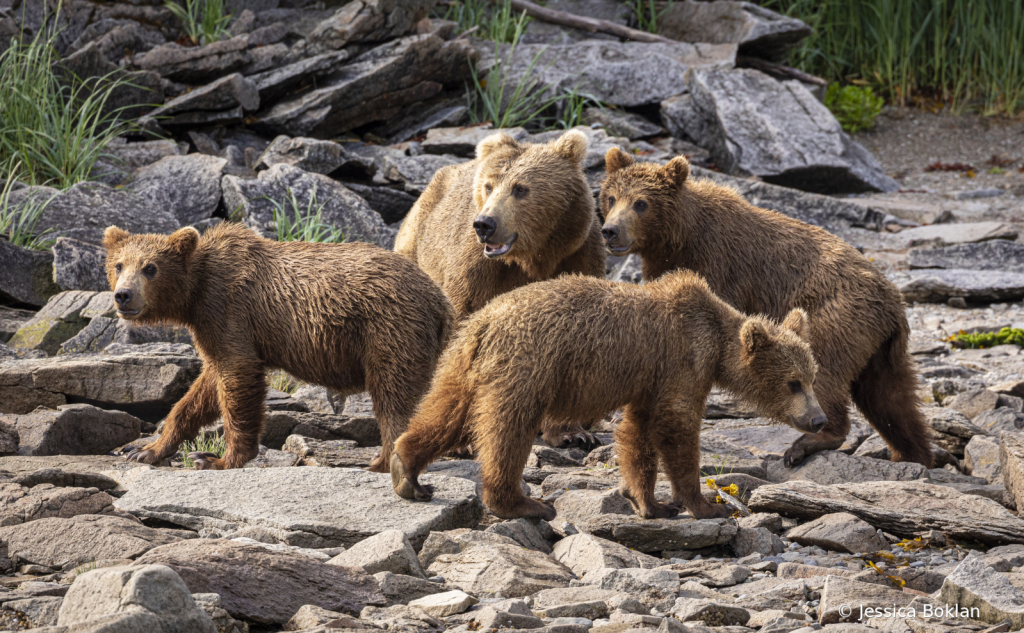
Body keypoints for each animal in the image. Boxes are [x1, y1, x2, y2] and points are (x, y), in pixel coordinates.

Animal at [103, 222, 452, 469]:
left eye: (150, 267)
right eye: (119, 265)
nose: (123, 295)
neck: (195, 294)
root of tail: (438, 297)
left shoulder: (231, 311)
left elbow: (237, 377)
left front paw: (218, 459)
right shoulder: (213, 328)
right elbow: (204, 388)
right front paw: (144, 448)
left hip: (388, 329)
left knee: (393, 394)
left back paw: (383, 461)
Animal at [387, 268, 827, 520]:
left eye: (813, 376)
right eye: (793, 383)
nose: (819, 419)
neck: (717, 342)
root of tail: (485, 321)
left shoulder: (650, 378)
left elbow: (638, 432)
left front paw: (649, 502)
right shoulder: (683, 360)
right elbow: (677, 425)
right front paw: (702, 504)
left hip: (461, 364)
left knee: (445, 412)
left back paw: (407, 471)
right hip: (527, 365)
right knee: (508, 430)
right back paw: (524, 503)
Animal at [395, 127, 606, 448]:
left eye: (520, 188)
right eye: (488, 186)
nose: (485, 224)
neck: (532, 257)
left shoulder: (578, 254)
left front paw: (572, 432)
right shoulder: (477, 272)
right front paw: (464, 437)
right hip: (417, 248)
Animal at [598, 145, 954, 465]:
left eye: (641, 203)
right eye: (611, 197)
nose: (610, 231)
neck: (678, 237)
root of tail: (894, 302)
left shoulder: (718, 265)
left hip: (835, 317)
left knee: (824, 372)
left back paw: (807, 442)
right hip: (879, 347)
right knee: (890, 398)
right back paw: (913, 453)